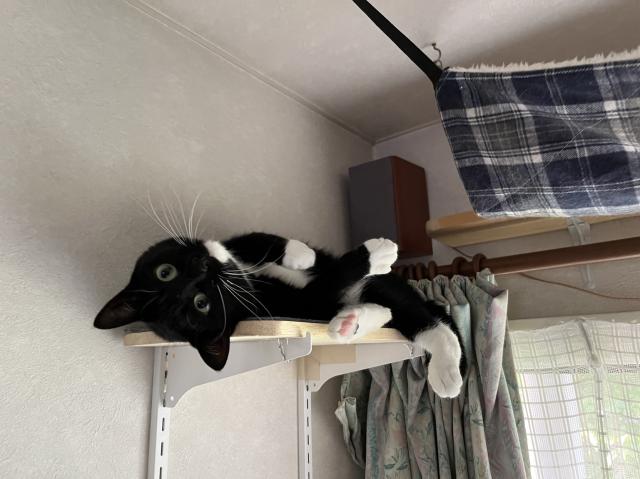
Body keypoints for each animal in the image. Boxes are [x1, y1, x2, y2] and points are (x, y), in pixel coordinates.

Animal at [95, 232, 464, 398]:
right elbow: (331, 278)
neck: (244, 278)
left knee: (413, 313)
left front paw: (300, 255)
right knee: (412, 318)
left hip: (384, 288)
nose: (202, 266)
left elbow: (263, 239)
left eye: (164, 272)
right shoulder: (296, 302)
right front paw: (373, 254)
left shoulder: (239, 245)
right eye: (203, 304)